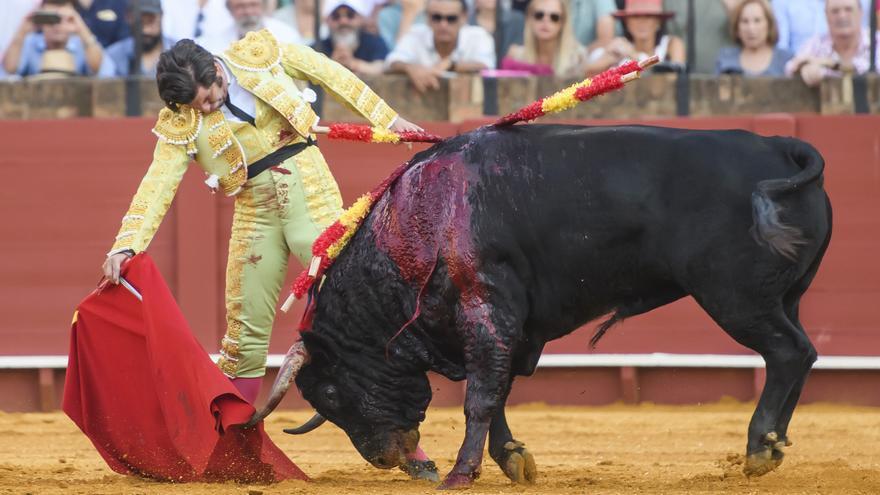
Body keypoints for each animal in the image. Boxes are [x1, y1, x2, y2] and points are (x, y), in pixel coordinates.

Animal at [251, 126, 828, 490]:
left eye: (330, 392)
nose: (383, 458)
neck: (417, 223)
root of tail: (782, 146)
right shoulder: (509, 326)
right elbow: (501, 389)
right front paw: (513, 460)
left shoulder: (486, 312)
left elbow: (482, 395)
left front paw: (461, 474)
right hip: (787, 298)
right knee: (803, 353)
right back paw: (775, 443)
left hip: (736, 298)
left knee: (786, 353)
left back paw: (758, 448)